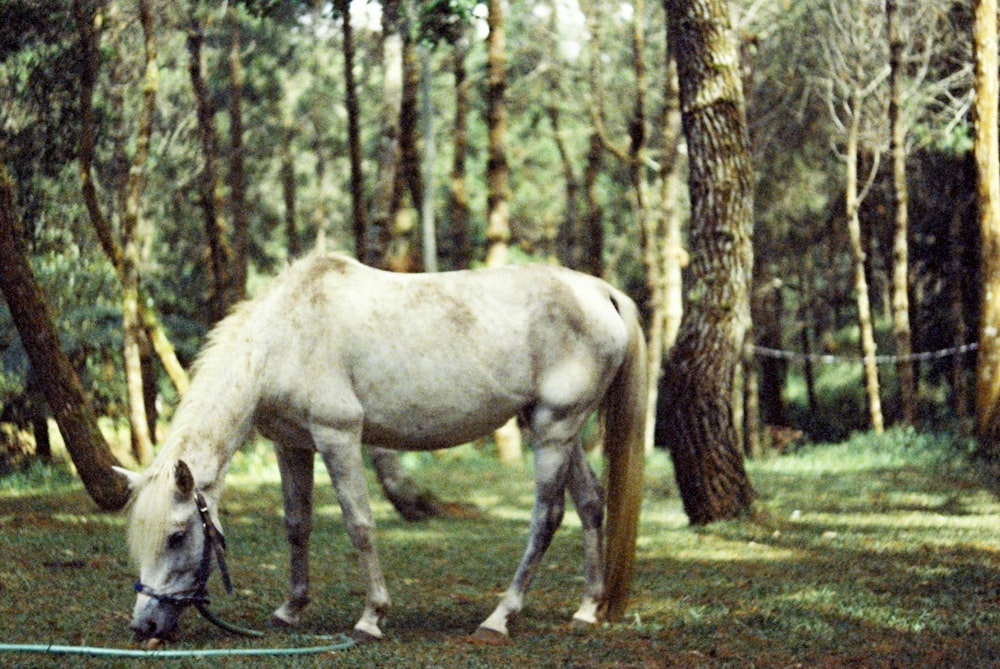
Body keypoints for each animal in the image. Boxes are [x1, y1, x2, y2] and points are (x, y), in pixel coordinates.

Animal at [115, 250, 648, 640]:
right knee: (590, 503)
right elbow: (297, 524)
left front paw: (372, 617)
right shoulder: (291, 444)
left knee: (546, 517)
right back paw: (587, 608)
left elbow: (360, 525)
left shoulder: (339, 437)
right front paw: (290, 609)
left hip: (555, 430)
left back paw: (499, 618)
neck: (285, 336)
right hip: (554, 428)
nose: (144, 626)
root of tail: (599, 291)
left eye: (177, 535)